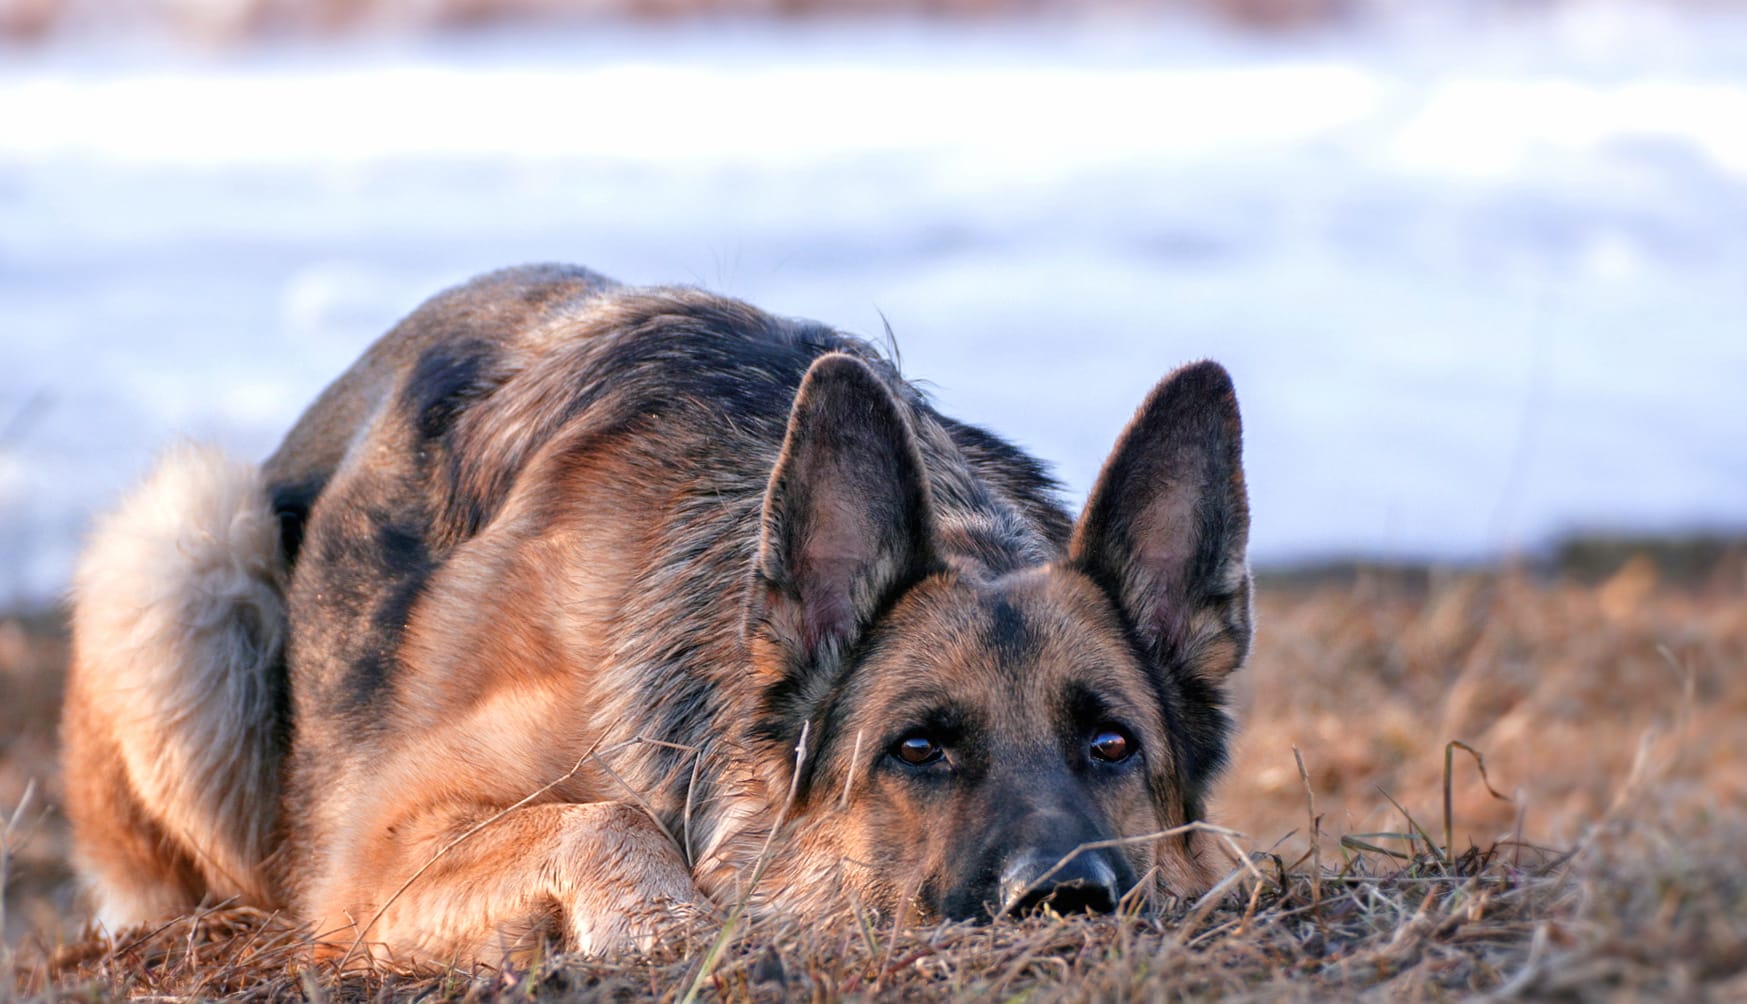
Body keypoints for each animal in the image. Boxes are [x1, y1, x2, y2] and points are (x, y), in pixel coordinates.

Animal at [61, 265, 1250, 963]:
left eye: (1111, 744)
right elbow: (605, 818)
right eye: (917, 749)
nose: (1063, 900)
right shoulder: (375, 855)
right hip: (187, 541)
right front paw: (670, 927)